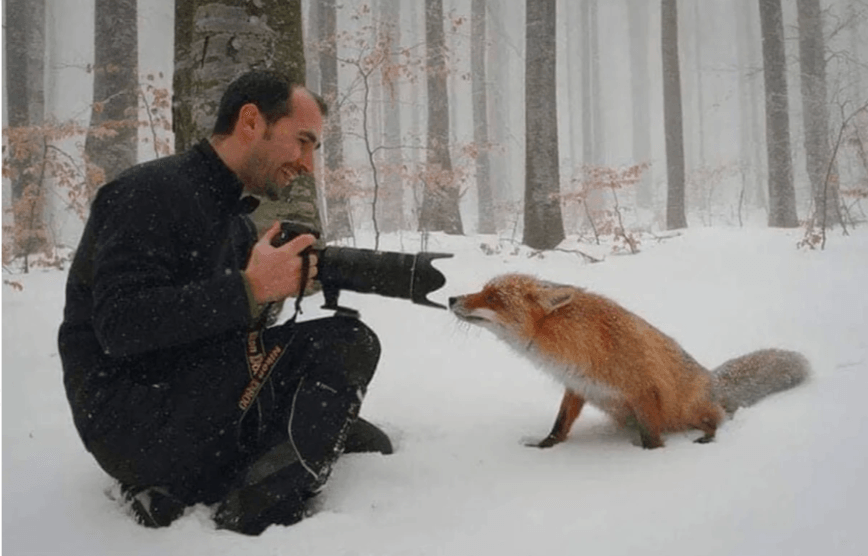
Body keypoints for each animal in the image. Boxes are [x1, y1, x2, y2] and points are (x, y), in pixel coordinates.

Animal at [450, 276, 812, 450]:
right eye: (483, 290)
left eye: (493, 298)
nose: (452, 298)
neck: (576, 342)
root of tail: (713, 379)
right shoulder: (577, 386)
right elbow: (559, 425)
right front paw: (544, 447)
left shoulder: (644, 391)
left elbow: (652, 439)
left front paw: (649, 460)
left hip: (689, 410)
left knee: (719, 419)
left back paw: (708, 437)